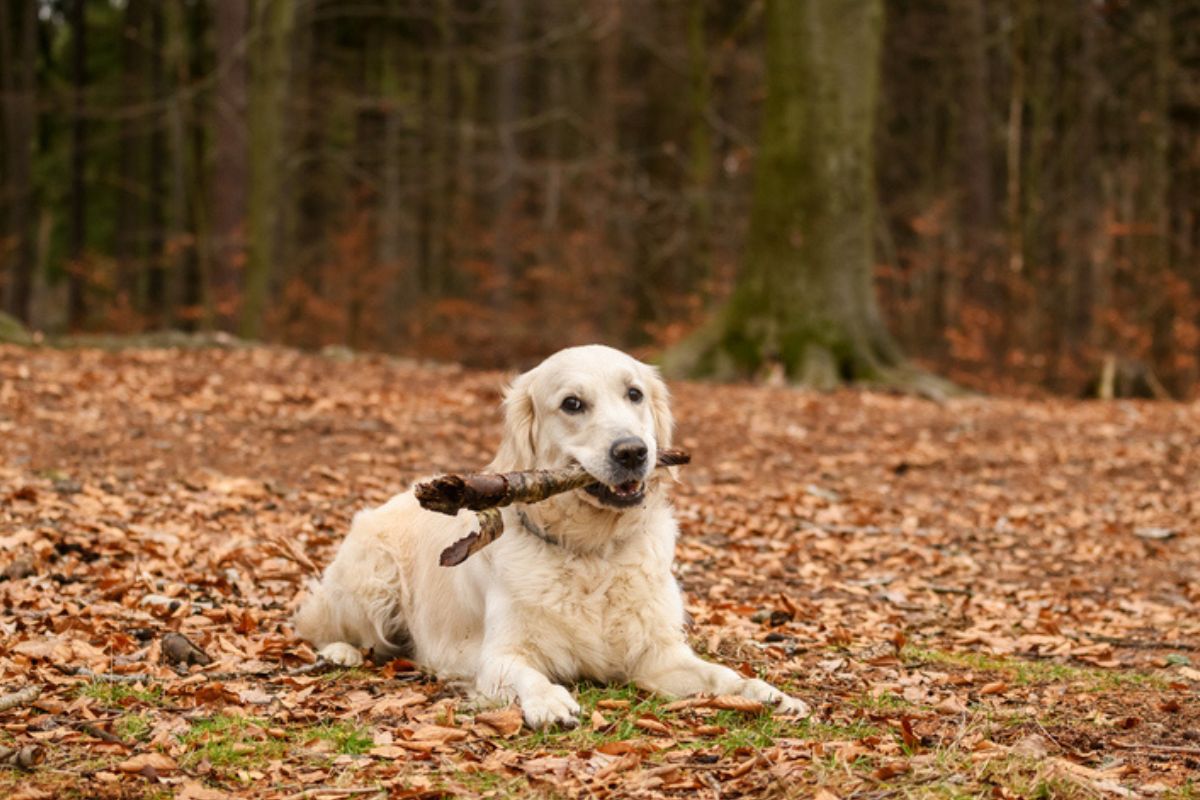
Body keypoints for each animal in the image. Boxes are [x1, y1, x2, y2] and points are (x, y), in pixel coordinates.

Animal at [295, 340, 811, 729]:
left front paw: (765, 692)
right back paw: (340, 652)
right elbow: (527, 675)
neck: (591, 552)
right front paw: (548, 701)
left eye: (635, 394)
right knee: (318, 626)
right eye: (572, 404)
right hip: (373, 578)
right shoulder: (499, 655)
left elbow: (720, 676)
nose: (632, 452)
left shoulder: (657, 654)